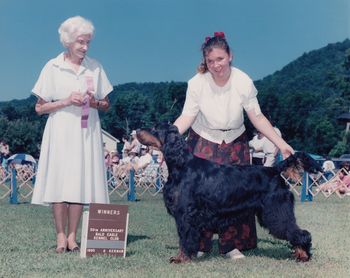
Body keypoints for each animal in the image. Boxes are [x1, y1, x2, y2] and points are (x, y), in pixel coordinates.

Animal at [137, 123, 322, 262]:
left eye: (154, 128)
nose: (136, 131)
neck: (181, 165)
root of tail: (274, 170)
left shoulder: (185, 214)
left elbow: (184, 238)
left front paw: (181, 258)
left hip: (276, 212)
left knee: (301, 233)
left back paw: (303, 256)